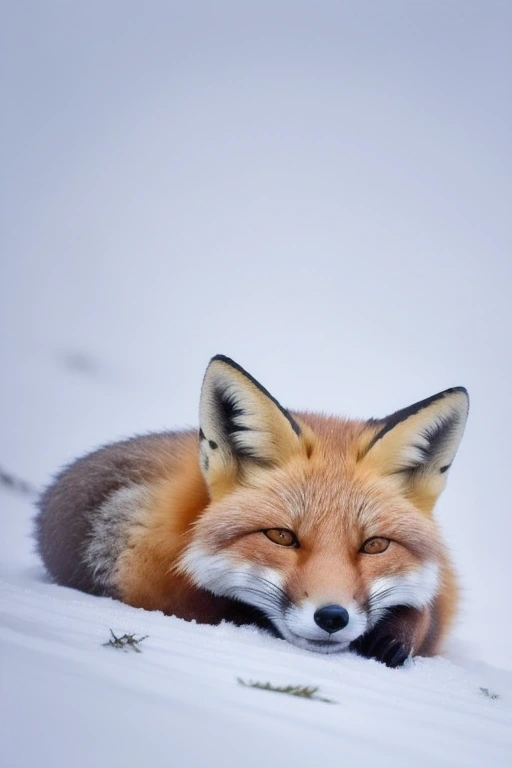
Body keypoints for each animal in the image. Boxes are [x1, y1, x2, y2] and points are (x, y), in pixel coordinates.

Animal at [35, 355, 469, 667]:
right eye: (280, 536)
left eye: (375, 545)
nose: (332, 617)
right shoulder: (144, 572)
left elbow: (427, 606)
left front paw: (399, 630)